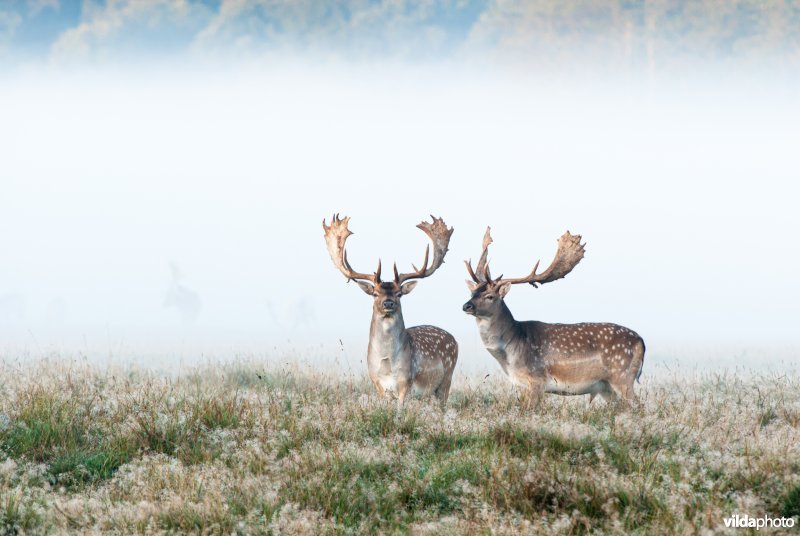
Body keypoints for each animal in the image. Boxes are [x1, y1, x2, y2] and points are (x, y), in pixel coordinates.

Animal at [318, 216, 456, 404]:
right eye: (375, 293)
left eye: (399, 294)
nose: (388, 303)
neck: (387, 365)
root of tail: (455, 340)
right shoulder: (377, 383)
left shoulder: (407, 382)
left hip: (446, 379)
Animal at [462, 227, 644, 406]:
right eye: (472, 292)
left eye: (490, 296)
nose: (466, 306)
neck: (510, 355)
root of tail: (641, 342)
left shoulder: (536, 379)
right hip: (606, 387)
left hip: (622, 375)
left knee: (638, 405)